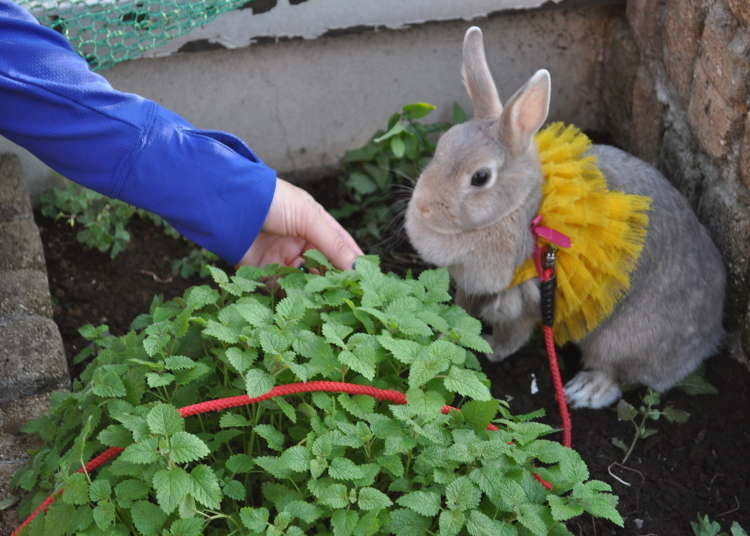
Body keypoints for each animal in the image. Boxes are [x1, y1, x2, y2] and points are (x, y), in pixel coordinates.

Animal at [406, 27, 728, 408]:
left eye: (480, 177)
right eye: (441, 146)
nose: (424, 207)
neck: (523, 208)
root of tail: (710, 334)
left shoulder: (526, 300)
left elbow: (512, 333)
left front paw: (493, 351)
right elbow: (460, 310)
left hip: (620, 339)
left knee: (621, 374)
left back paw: (586, 390)